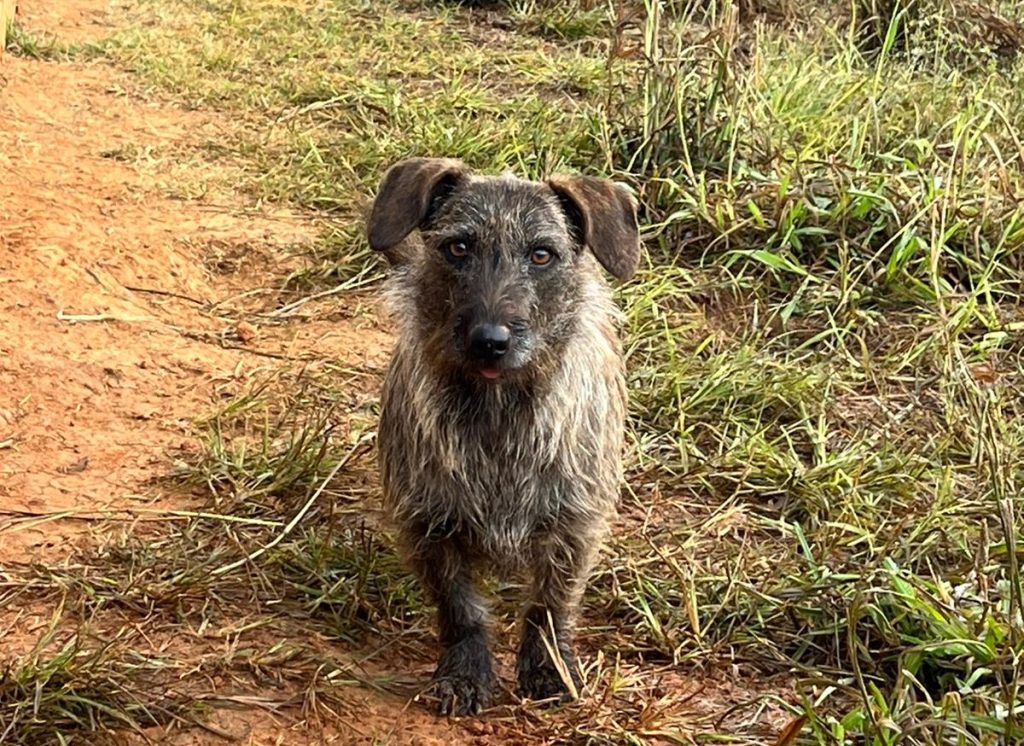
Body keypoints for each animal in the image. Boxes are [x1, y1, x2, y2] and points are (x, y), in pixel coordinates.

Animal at [368, 158, 638, 716]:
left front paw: (550, 669)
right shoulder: (429, 524)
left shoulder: (573, 527)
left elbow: (549, 607)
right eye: (457, 247)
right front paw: (466, 672)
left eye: (542, 254)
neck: (498, 419)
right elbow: (460, 608)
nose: (489, 341)